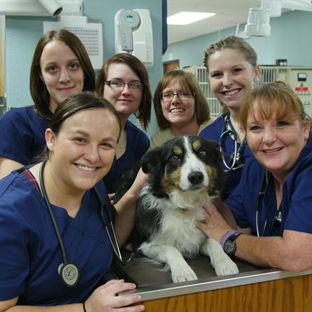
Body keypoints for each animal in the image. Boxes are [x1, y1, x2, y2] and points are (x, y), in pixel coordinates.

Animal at [115, 136, 239, 282]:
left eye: (202, 152)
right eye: (174, 157)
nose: (196, 176)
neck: (185, 206)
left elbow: (213, 241)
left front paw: (225, 263)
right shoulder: (145, 246)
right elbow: (171, 249)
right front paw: (183, 271)